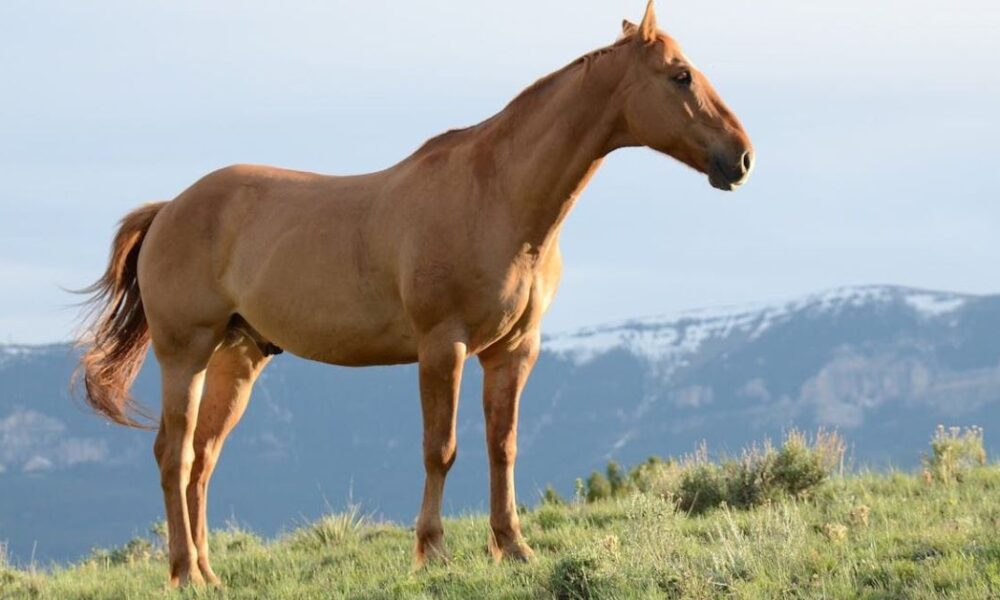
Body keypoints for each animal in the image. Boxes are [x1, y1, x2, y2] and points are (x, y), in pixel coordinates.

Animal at [76, 1, 752, 586]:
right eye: (680, 75)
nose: (741, 158)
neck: (497, 196)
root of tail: (170, 208)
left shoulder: (514, 350)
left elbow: (502, 446)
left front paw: (513, 547)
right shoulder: (442, 347)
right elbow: (441, 449)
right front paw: (432, 552)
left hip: (236, 358)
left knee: (203, 459)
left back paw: (209, 573)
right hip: (185, 353)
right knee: (174, 455)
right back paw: (184, 573)